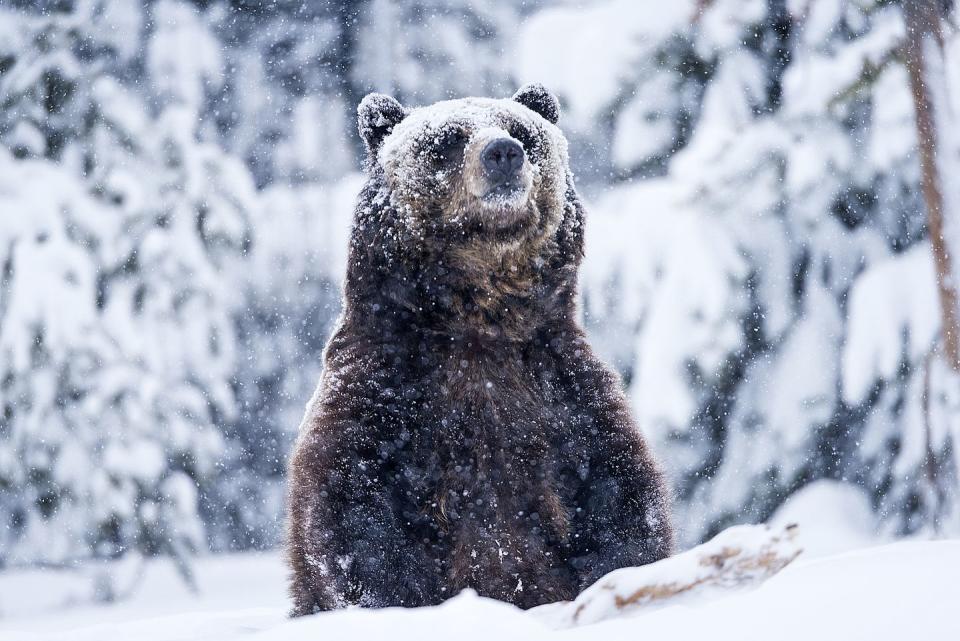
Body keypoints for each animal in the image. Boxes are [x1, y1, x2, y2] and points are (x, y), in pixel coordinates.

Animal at [288, 82, 672, 612]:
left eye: (523, 131)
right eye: (447, 139)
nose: (503, 153)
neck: (480, 322)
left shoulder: (562, 391)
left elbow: (620, 496)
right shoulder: (384, 388)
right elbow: (351, 511)